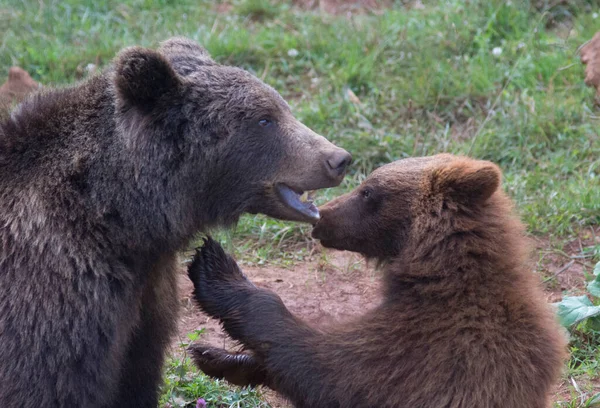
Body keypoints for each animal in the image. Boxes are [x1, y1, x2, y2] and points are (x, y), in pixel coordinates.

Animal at [0, 36, 352, 406]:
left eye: (283, 108)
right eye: (264, 120)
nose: (338, 159)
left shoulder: (145, 301)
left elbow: (137, 372)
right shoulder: (55, 293)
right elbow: (48, 382)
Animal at [188, 154, 568, 408]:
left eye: (368, 191)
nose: (322, 217)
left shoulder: (435, 352)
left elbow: (327, 368)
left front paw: (216, 270)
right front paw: (215, 356)